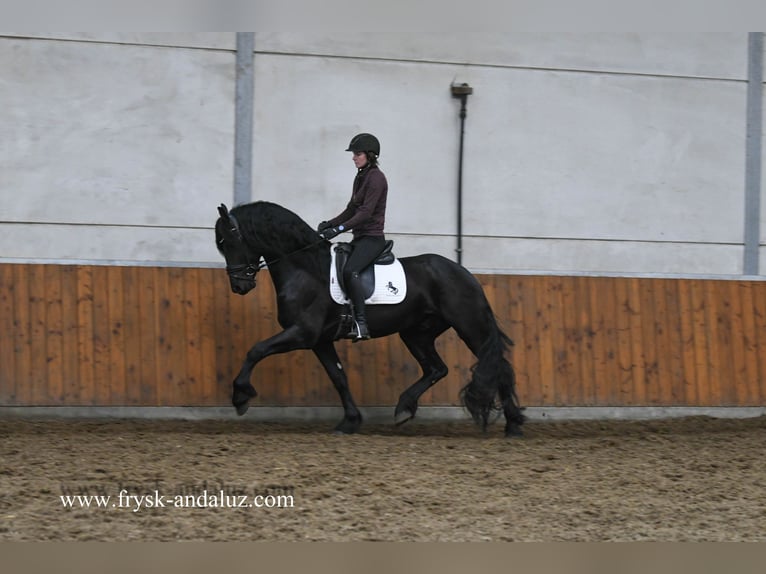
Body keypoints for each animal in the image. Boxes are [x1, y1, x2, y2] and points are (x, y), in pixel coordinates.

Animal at [218, 200, 528, 438]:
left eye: (230, 241)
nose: (239, 286)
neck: (305, 269)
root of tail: (464, 273)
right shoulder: (319, 340)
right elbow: (338, 377)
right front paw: (349, 422)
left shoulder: (303, 333)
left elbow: (256, 350)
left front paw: (241, 396)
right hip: (416, 333)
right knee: (436, 369)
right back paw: (404, 408)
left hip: (469, 326)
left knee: (498, 367)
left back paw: (514, 425)